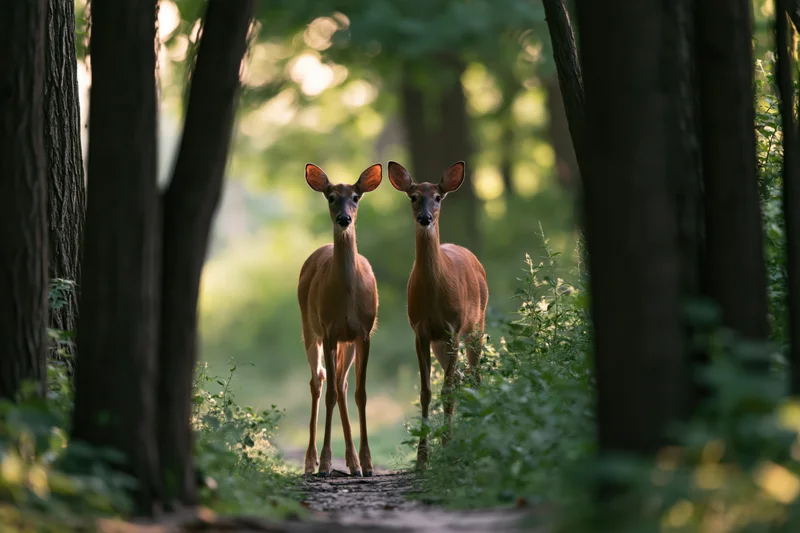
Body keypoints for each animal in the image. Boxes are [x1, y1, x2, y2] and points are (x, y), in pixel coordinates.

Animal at [297, 162, 382, 478]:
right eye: (331, 196)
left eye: (356, 197)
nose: (344, 219)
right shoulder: (330, 331)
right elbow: (330, 394)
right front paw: (324, 463)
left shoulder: (364, 333)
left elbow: (361, 393)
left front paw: (368, 464)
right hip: (310, 329)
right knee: (318, 382)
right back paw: (310, 462)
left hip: (348, 343)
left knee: (342, 386)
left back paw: (353, 463)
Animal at [387, 160, 489, 468]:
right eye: (413, 196)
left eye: (438, 197)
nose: (425, 218)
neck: (434, 294)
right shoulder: (420, 332)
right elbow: (426, 393)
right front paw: (422, 459)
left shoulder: (452, 328)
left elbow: (447, 391)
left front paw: (446, 448)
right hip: (439, 344)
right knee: (461, 378)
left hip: (475, 327)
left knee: (475, 377)